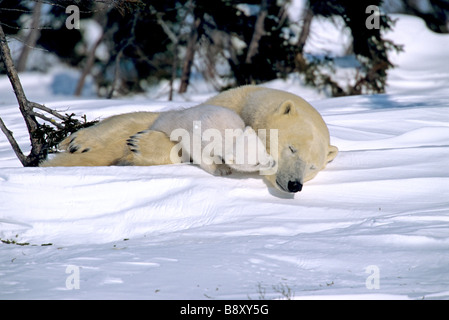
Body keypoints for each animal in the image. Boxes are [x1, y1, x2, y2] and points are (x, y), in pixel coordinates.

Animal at [129, 104, 272, 175]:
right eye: (256, 163)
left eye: (264, 150)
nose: (272, 163)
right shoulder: (202, 136)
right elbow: (196, 148)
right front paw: (221, 169)